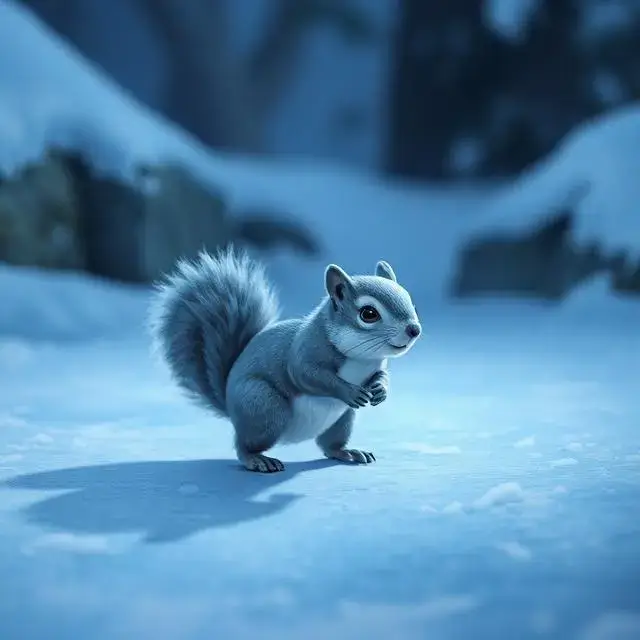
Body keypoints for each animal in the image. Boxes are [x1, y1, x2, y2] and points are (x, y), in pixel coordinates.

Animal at [149, 248, 421, 473]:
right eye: (368, 313)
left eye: (410, 300)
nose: (414, 330)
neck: (362, 357)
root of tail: (229, 404)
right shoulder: (305, 350)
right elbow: (306, 374)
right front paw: (349, 391)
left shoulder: (377, 365)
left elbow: (381, 376)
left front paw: (380, 390)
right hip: (265, 407)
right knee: (243, 445)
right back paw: (257, 460)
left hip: (342, 420)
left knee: (329, 446)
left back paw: (349, 452)